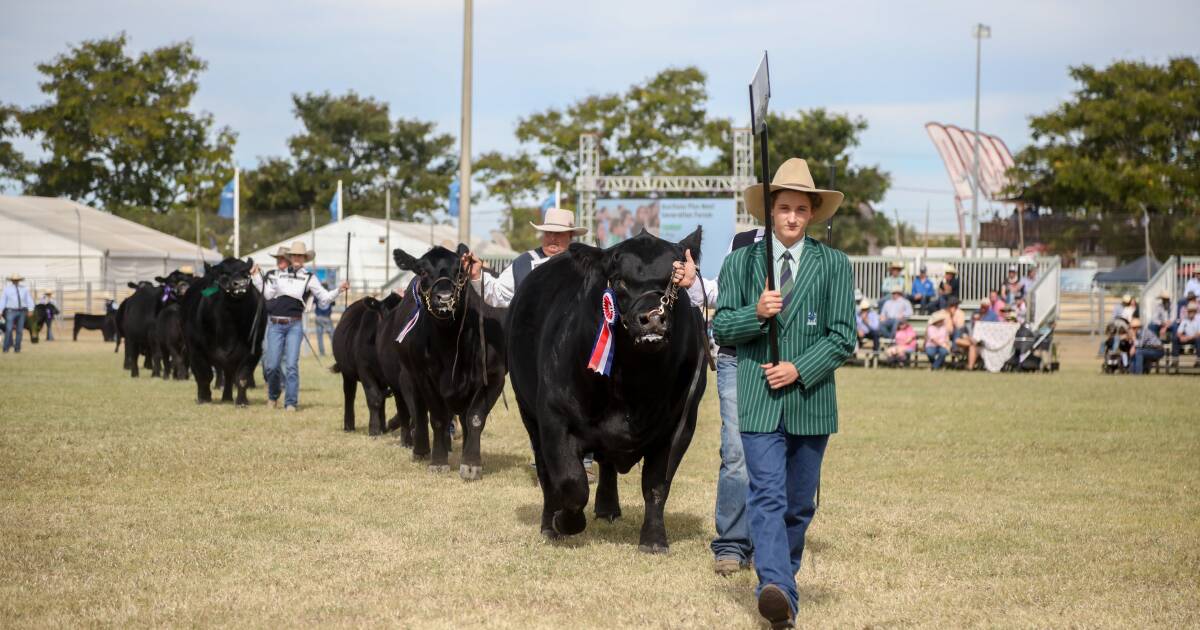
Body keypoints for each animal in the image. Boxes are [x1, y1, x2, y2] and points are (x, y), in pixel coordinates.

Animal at [180, 258, 265, 405]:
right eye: (223, 273)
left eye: (246, 273)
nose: (240, 284)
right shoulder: (196, 348)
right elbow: (204, 375)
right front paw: (204, 398)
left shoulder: (255, 349)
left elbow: (242, 377)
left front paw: (242, 402)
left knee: (229, 375)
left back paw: (227, 397)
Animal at [333, 292, 408, 434]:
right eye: (386, 312)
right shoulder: (364, 369)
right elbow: (374, 397)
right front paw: (373, 429)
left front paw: (391, 423)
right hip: (347, 372)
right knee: (349, 395)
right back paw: (349, 426)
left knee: (382, 395)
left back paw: (383, 426)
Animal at [384, 243, 506, 480]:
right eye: (422, 271)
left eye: (460, 272)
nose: (444, 297)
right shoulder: (424, 377)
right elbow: (437, 418)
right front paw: (438, 461)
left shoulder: (494, 376)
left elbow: (475, 418)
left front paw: (471, 463)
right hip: (409, 376)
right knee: (419, 413)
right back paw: (422, 450)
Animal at [504, 226, 700, 549]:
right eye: (619, 280)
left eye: (674, 280)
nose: (653, 319)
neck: (633, 382)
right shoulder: (555, 418)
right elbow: (570, 482)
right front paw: (564, 522)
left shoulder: (680, 424)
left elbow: (657, 484)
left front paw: (654, 539)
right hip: (528, 412)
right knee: (546, 473)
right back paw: (549, 523)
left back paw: (608, 507)